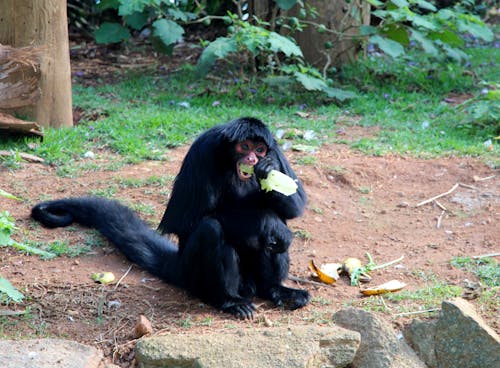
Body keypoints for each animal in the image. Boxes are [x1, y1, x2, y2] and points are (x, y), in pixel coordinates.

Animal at [32, 118, 308, 320]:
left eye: (260, 150)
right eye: (245, 147)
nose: (253, 160)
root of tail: (180, 264)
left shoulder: (276, 153)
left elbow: (295, 206)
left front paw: (269, 180)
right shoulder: (203, 151)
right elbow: (185, 220)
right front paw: (267, 223)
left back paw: (274, 290)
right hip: (194, 273)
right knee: (211, 229)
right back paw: (229, 300)